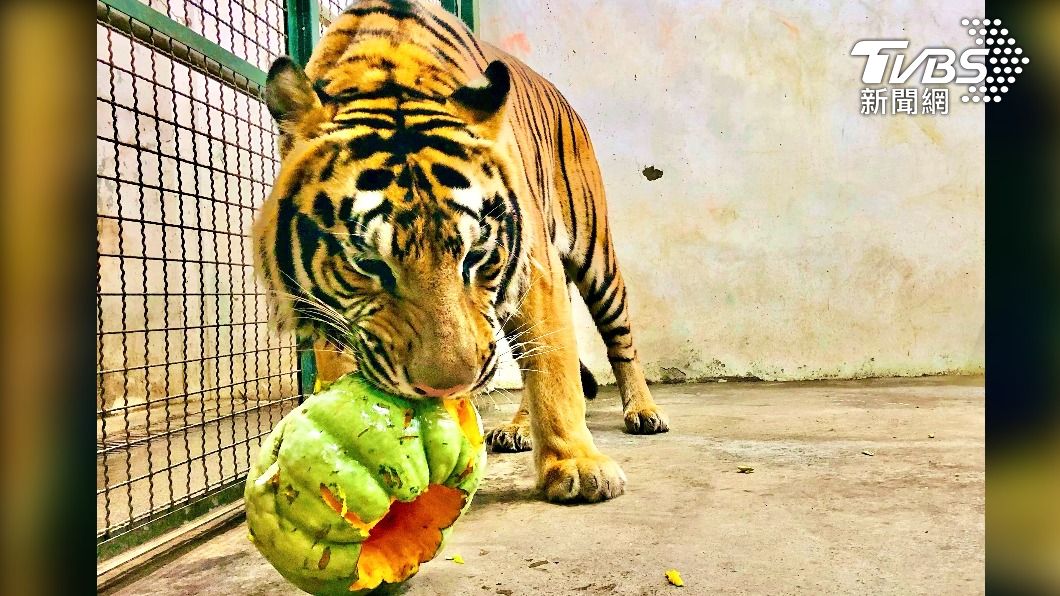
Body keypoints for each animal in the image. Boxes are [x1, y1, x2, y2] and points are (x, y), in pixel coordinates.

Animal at [252, 0, 669, 503]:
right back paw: (517, 427)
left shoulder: (536, 267)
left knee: (618, 340)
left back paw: (643, 411)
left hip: (596, 257)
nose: (447, 386)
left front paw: (577, 464)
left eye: (474, 256)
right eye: (368, 265)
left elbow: (554, 369)